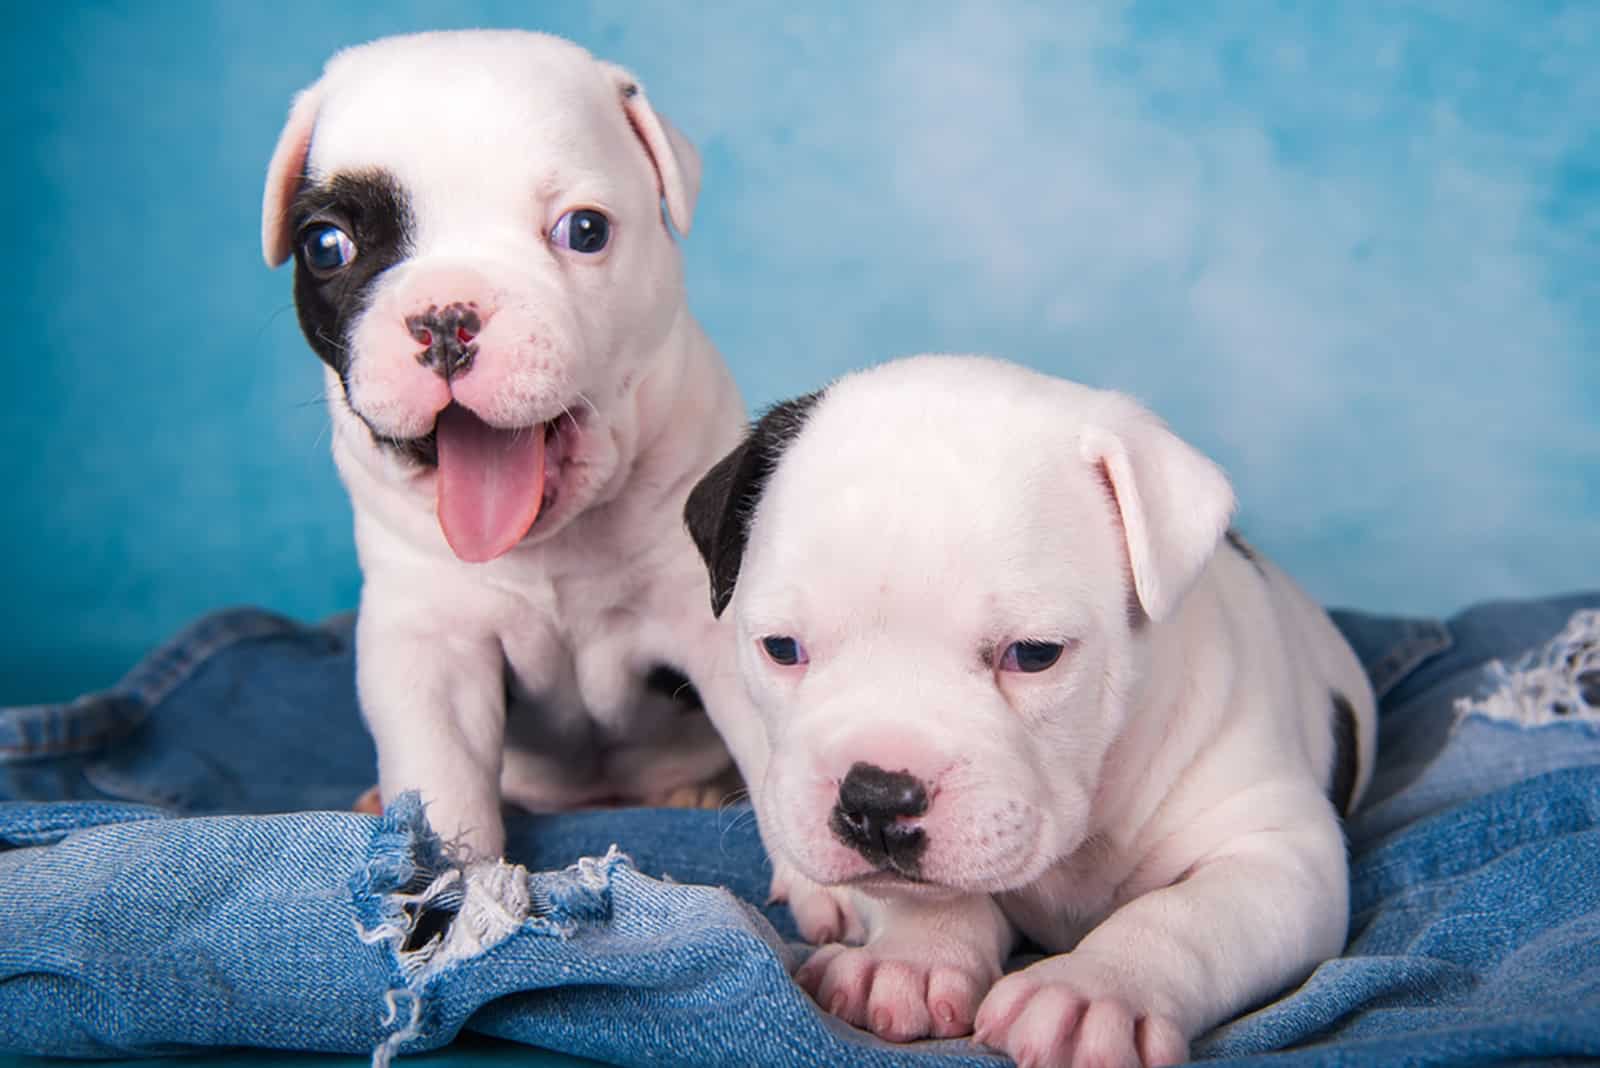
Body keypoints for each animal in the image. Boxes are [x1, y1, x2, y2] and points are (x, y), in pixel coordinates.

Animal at [264, 29, 755, 856]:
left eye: (585, 231)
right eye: (326, 245)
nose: (445, 318)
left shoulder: (709, 619)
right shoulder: (432, 647)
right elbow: (443, 776)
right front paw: (449, 874)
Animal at [684, 356, 1376, 1068]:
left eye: (1034, 655)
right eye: (781, 648)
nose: (876, 798)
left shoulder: (1280, 854)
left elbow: (1184, 915)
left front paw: (1094, 989)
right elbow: (916, 896)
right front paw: (911, 955)